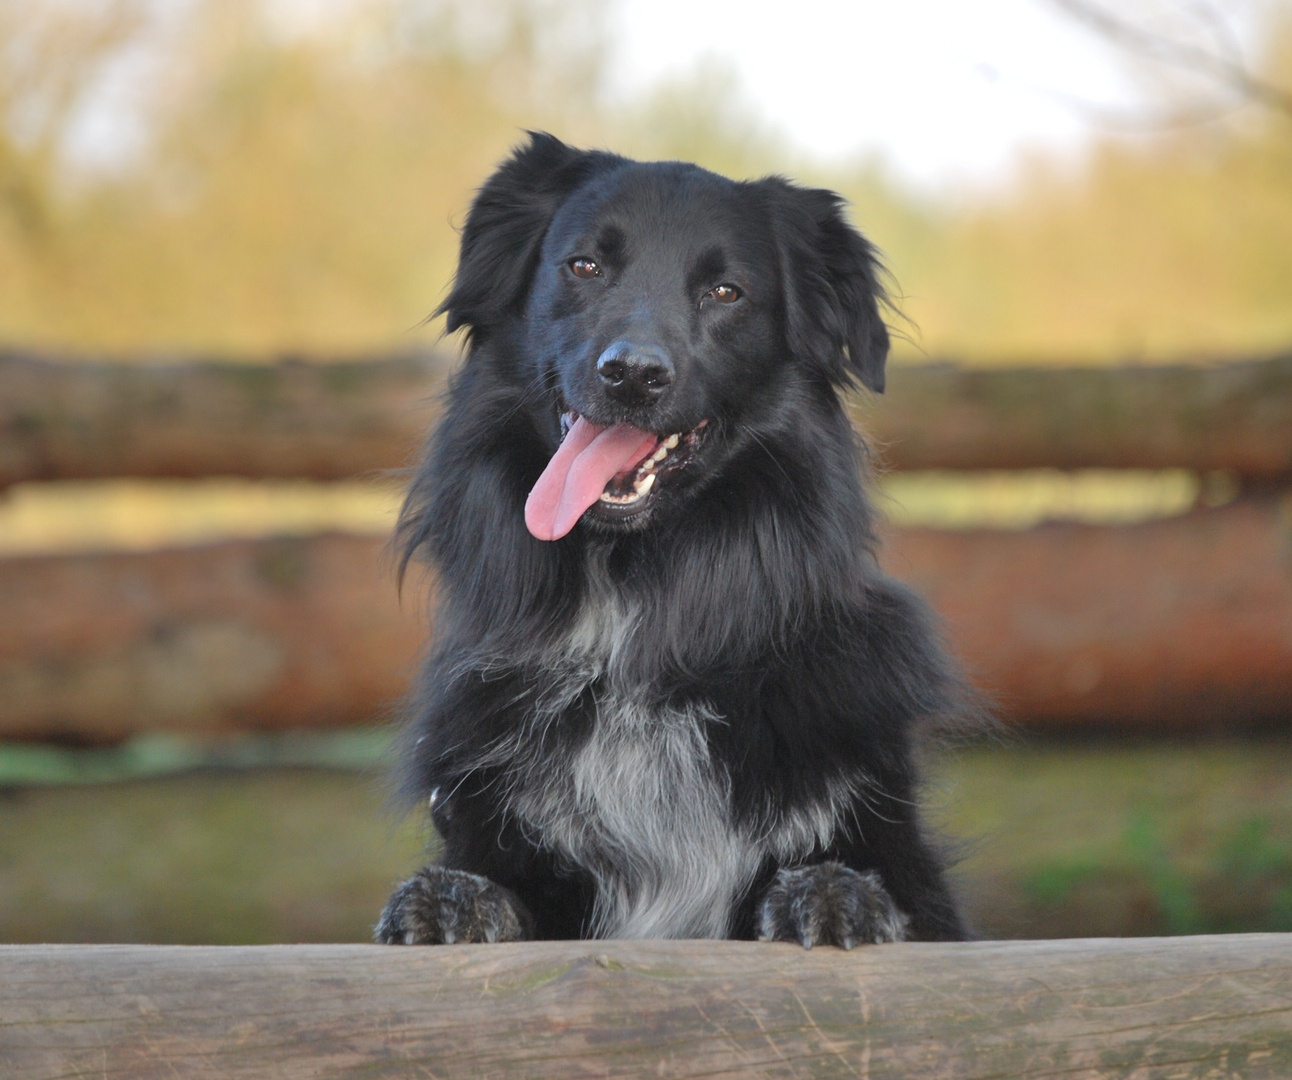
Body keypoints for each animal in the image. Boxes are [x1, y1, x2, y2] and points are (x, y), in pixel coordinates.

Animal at [377, 133, 971, 945]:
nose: (630, 374)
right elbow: (502, 890)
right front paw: (456, 899)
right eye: (583, 266)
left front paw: (833, 892)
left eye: (725, 292)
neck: (632, 626)